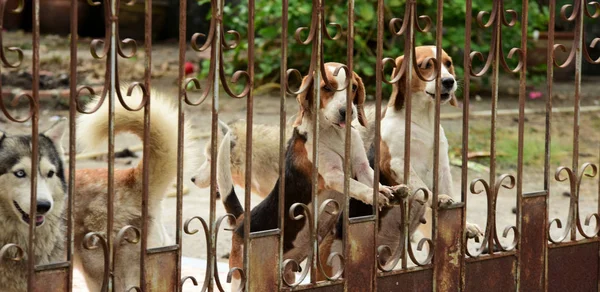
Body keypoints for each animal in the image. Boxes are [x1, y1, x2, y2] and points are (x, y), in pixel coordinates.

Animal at [226, 62, 408, 290]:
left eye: (353, 87)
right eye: (327, 88)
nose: (346, 112)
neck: (335, 134)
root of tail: (241, 222)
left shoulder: (362, 167)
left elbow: (371, 180)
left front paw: (390, 190)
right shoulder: (332, 175)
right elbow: (356, 186)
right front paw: (375, 195)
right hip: (240, 278)